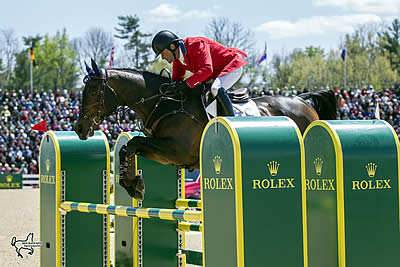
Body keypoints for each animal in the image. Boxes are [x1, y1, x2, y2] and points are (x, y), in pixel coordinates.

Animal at [75, 59, 338, 200]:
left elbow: (133, 143)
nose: (79, 128)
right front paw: (133, 184)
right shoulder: (164, 153)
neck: (166, 102)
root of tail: (302, 100)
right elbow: (127, 148)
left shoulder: (177, 150)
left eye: (92, 92)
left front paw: (135, 186)